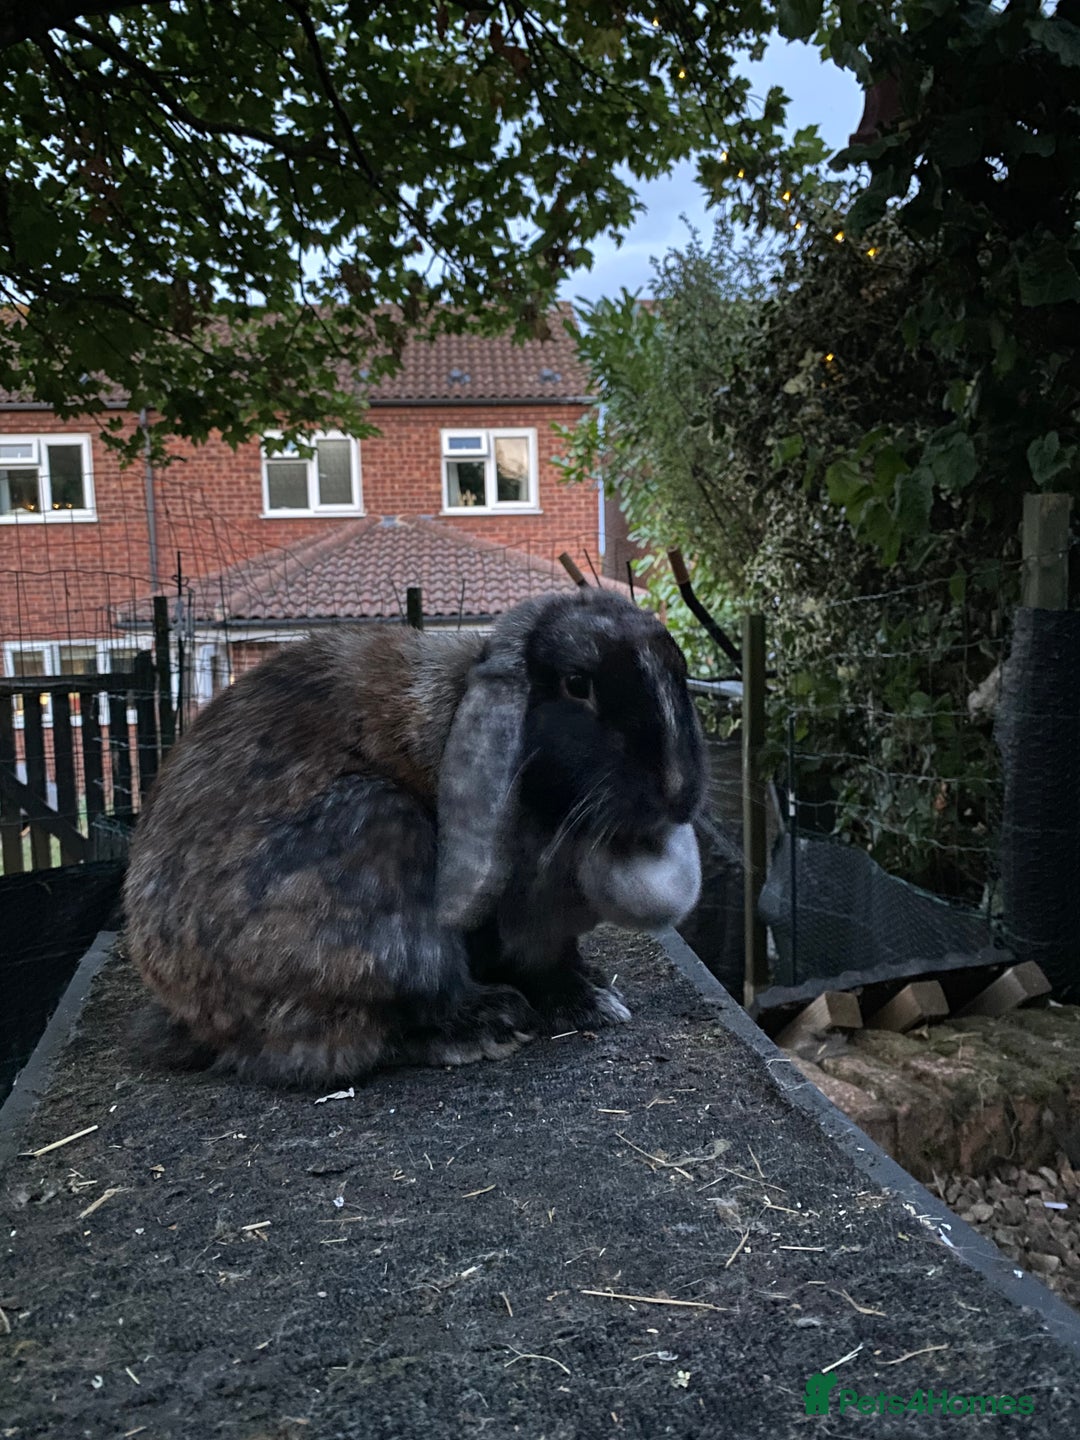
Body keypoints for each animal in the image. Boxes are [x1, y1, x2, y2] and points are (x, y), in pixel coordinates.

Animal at [123, 585, 707, 1087]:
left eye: (679, 672)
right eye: (577, 685)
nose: (678, 790)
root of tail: (186, 1004)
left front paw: (594, 987)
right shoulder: (523, 919)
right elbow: (540, 963)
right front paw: (587, 1005)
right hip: (379, 841)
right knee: (368, 1027)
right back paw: (489, 1024)